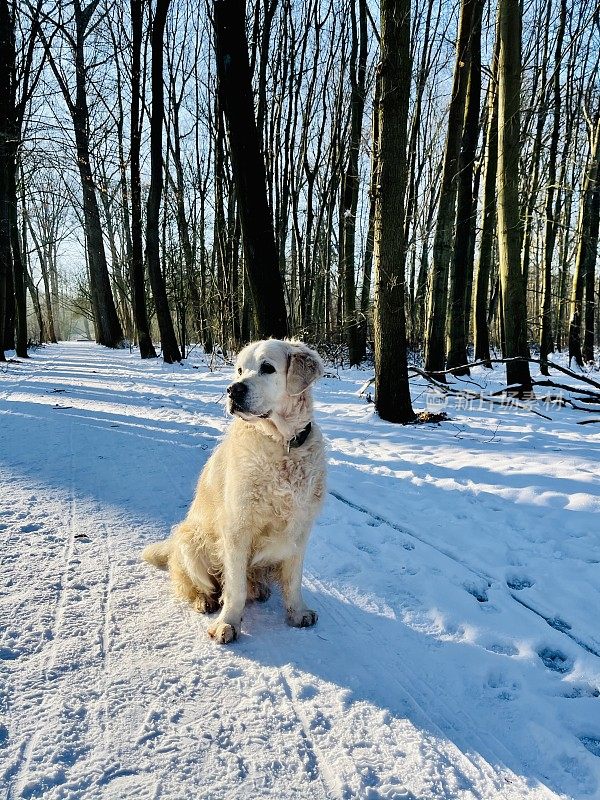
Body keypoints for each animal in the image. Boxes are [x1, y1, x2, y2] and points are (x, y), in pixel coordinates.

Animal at [142, 338, 326, 644]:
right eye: (239, 370)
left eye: (267, 368)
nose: (233, 389)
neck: (282, 444)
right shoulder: (237, 529)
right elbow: (234, 588)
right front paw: (227, 623)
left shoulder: (300, 527)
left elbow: (293, 580)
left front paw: (298, 612)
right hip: (190, 540)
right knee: (193, 584)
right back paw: (204, 600)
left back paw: (259, 590)